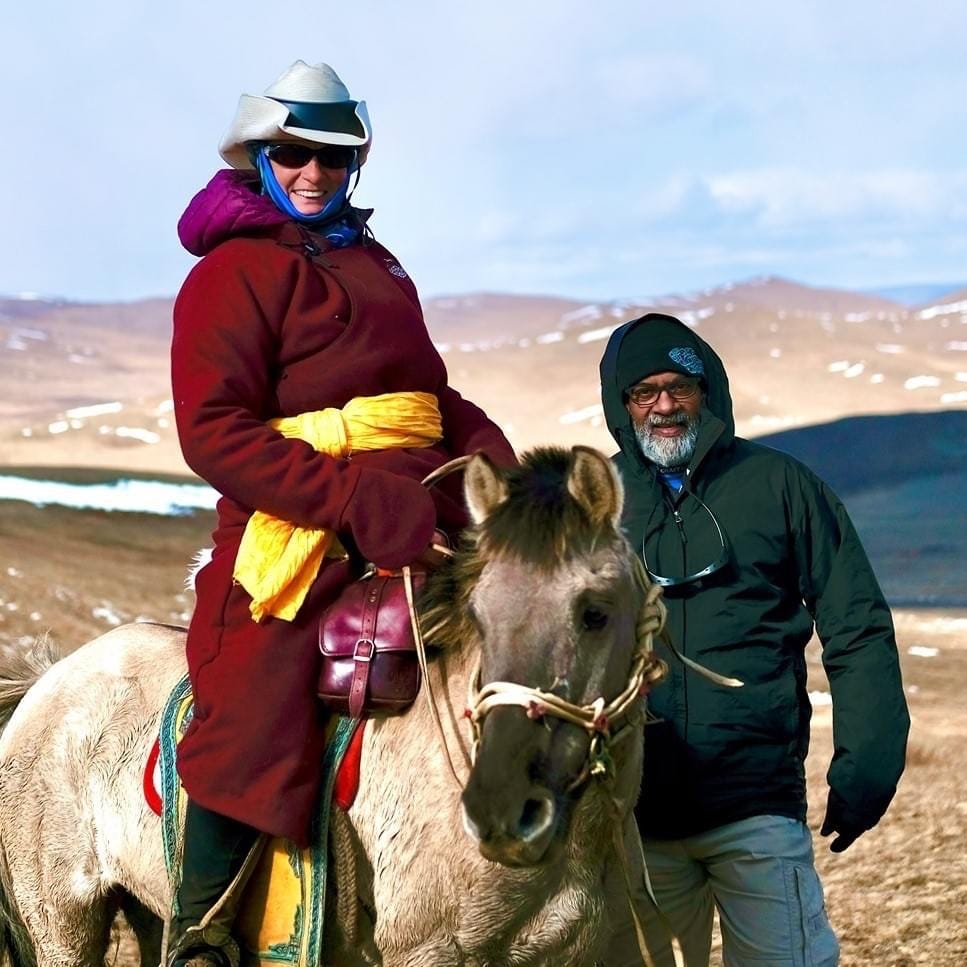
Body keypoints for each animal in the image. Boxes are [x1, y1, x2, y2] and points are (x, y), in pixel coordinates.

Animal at [0, 448, 664, 967]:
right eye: (478, 613)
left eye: (596, 611)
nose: (501, 812)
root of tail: (45, 681)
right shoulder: (428, 954)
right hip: (63, 925)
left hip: (143, 907)